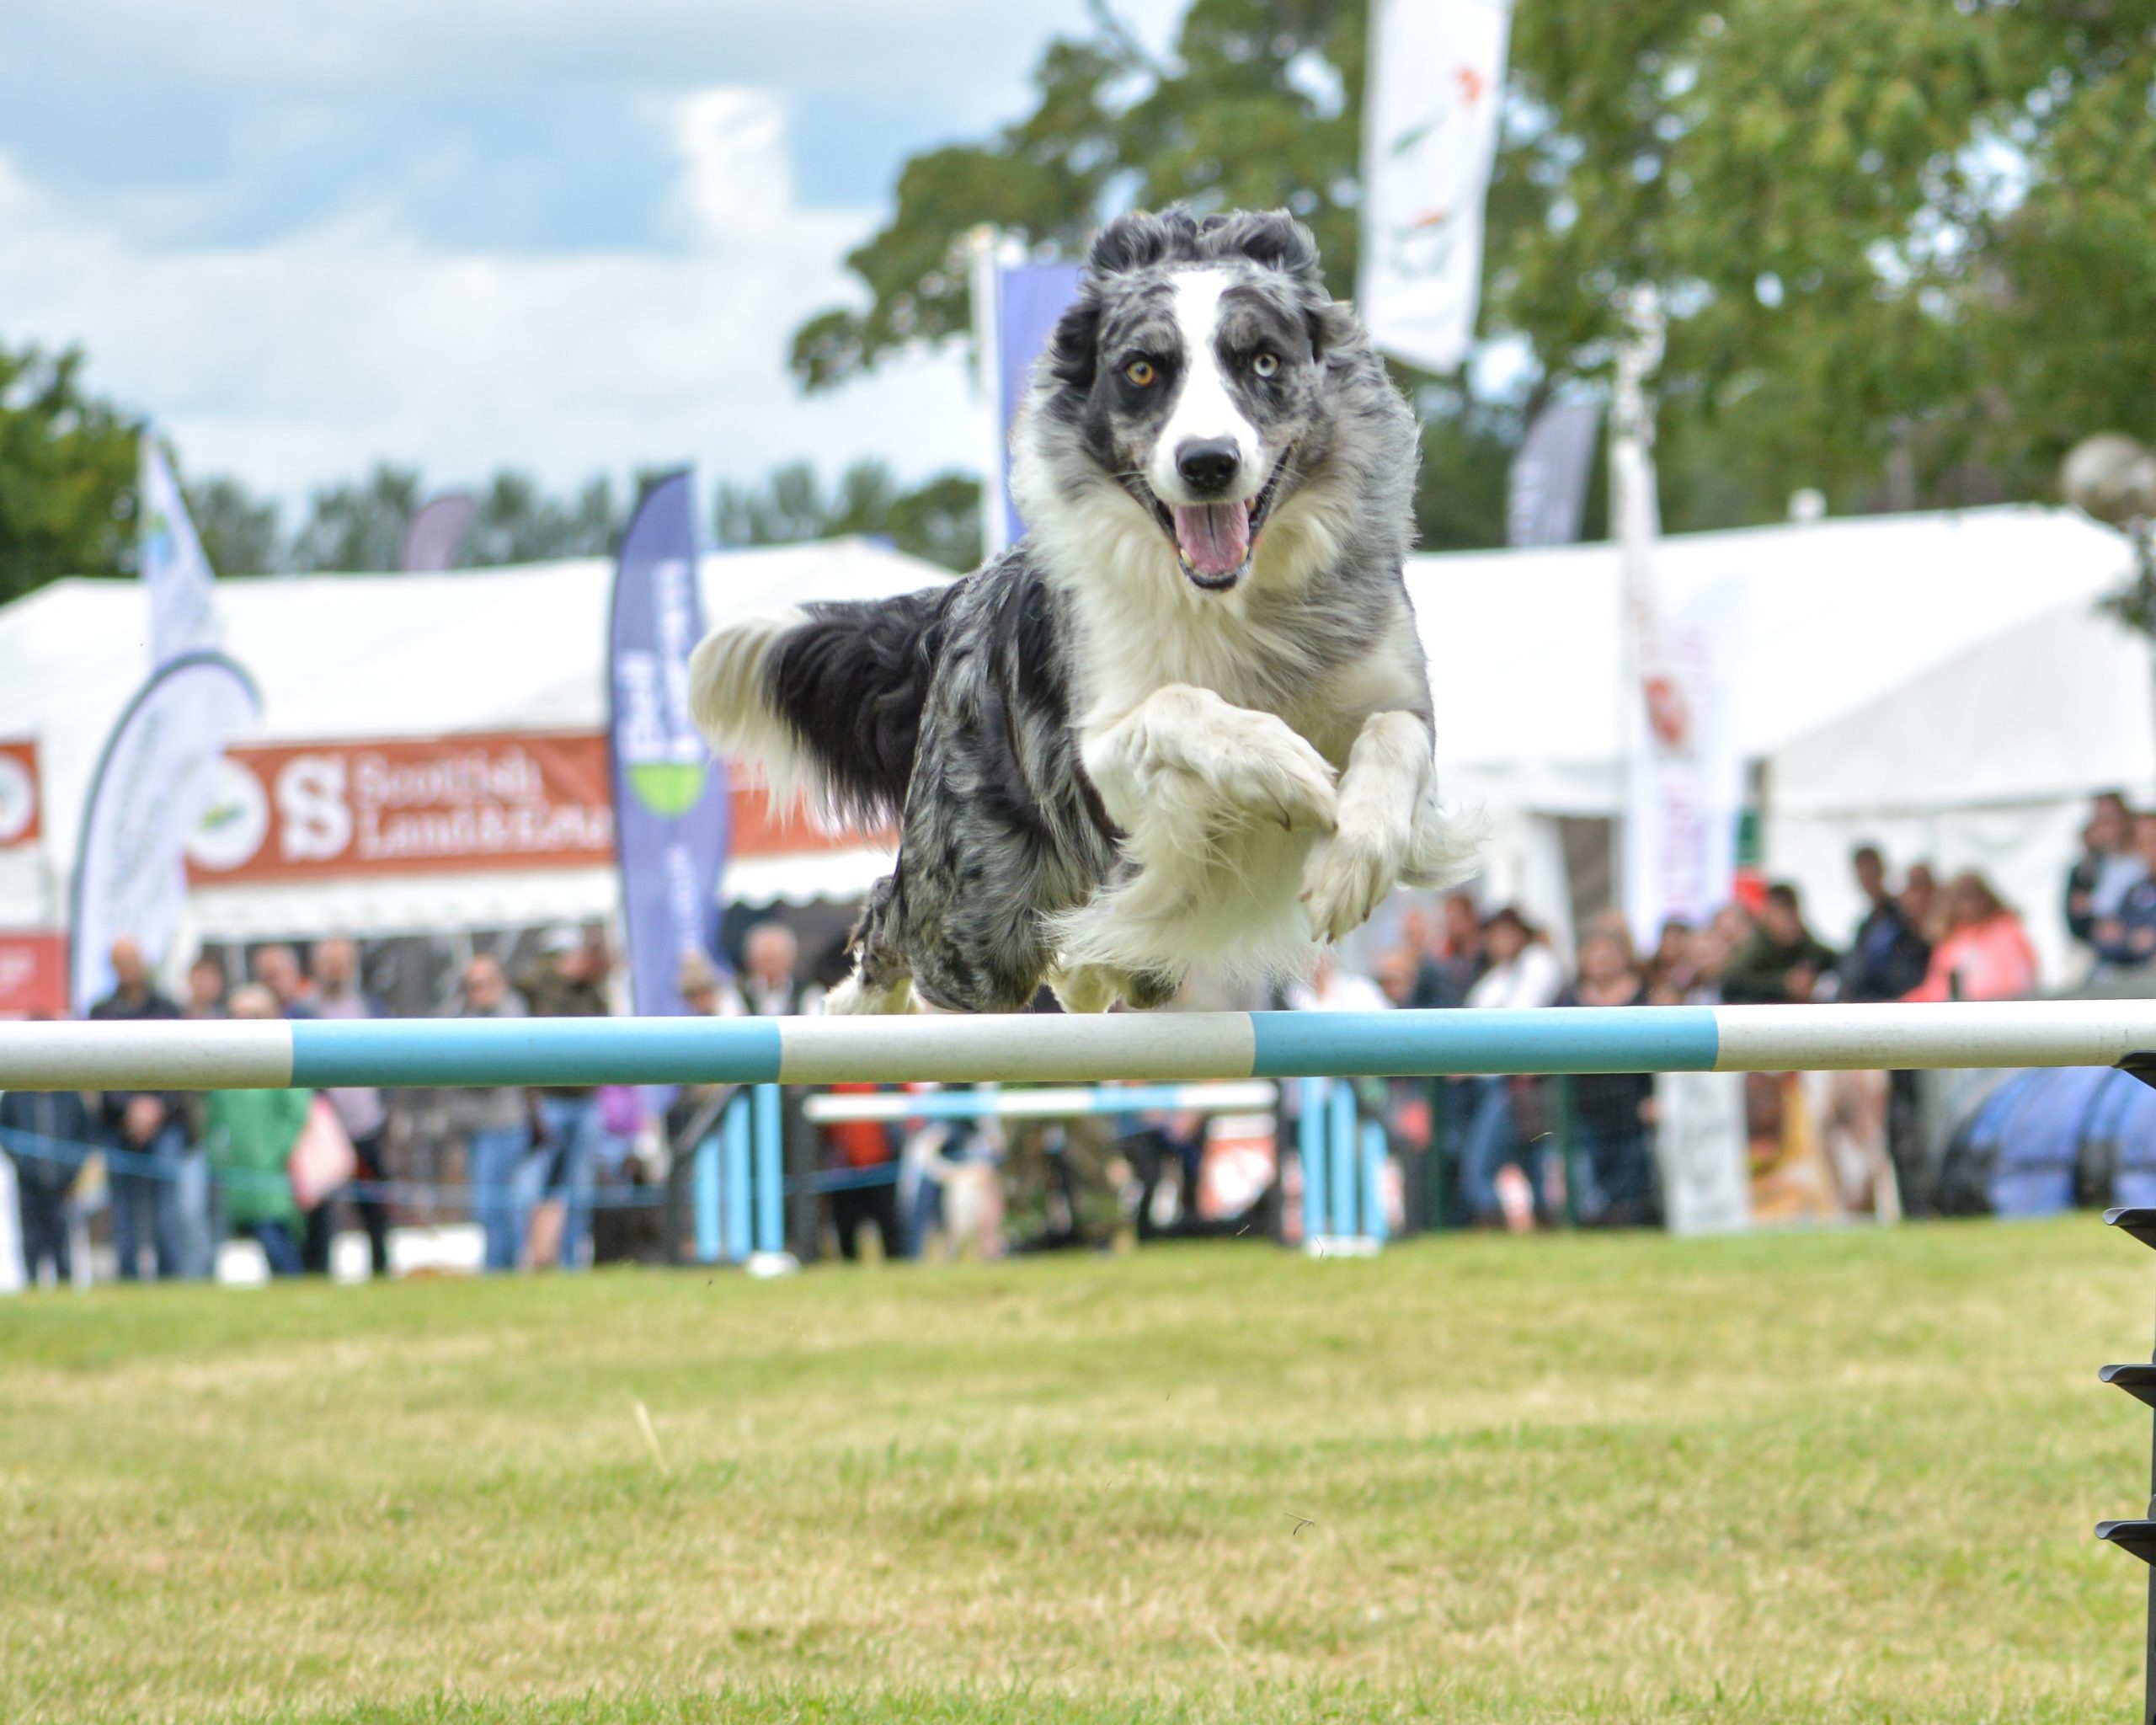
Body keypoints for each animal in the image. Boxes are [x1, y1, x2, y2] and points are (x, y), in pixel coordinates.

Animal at [698, 203, 1475, 1017]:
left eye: (1263, 362)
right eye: (1142, 370)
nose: (1208, 463)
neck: (1234, 605)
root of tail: (968, 593)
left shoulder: (1393, 691)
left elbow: (1396, 738)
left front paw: (1351, 861)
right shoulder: (1102, 756)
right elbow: (1176, 706)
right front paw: (1283, 764)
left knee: (1096, 954)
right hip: (976, 915)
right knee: (896, 916)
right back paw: (849, 1014)